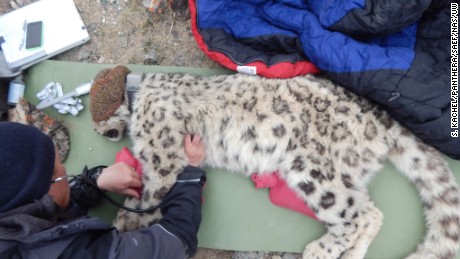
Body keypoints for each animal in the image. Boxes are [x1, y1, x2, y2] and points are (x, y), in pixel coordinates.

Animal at [91, 72, 458, 259]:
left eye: (96, 118)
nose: (103, 134)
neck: (138, 97)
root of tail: (380, 117)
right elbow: (138, 191)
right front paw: (123, 214)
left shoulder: (163, 157)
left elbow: (153, 198)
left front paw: (133, 225)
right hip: (345, 172)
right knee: (371, 213)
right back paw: (351, 254)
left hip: (313, 169)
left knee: (357, 215)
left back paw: (320, 251)